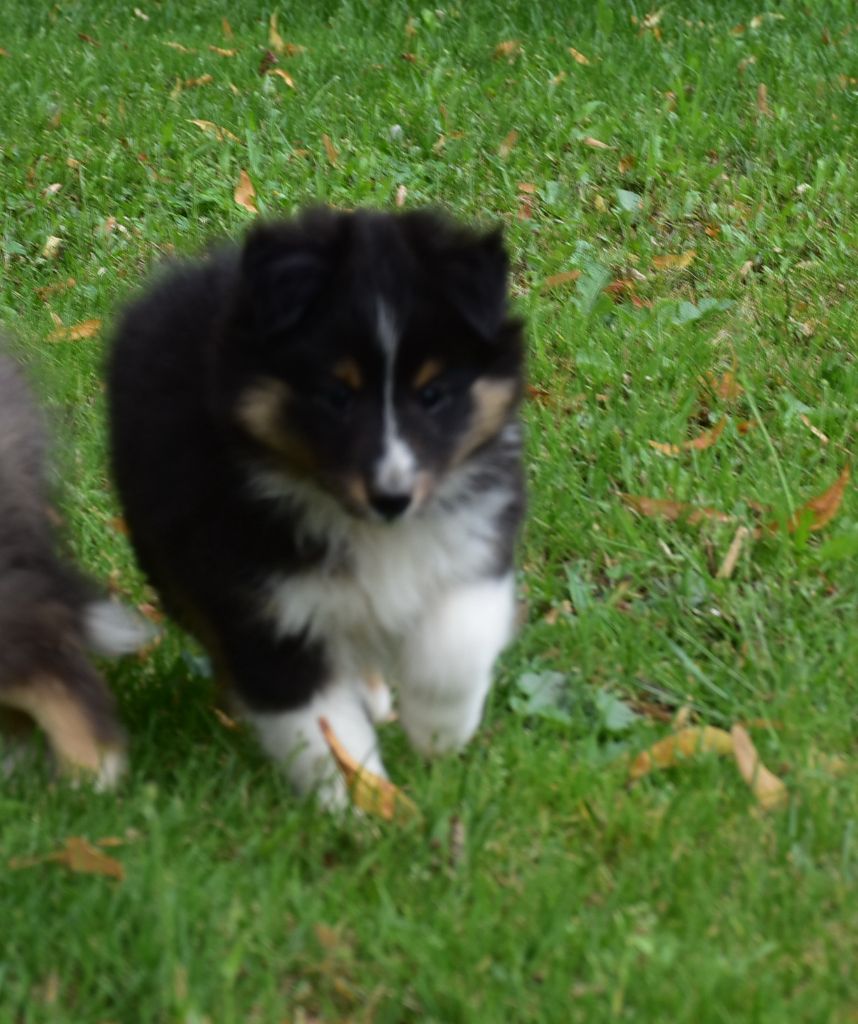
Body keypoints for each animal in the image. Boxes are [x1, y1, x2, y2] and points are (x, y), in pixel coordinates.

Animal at [107, 209, 525, 807]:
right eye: (336, 396)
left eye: (432, 394)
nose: (392, 497)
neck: (369, 529)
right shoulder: (264, 608)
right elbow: (320, 727)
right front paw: (364, 808)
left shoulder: (474, 541)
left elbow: (456, 643)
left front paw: (439, 733)